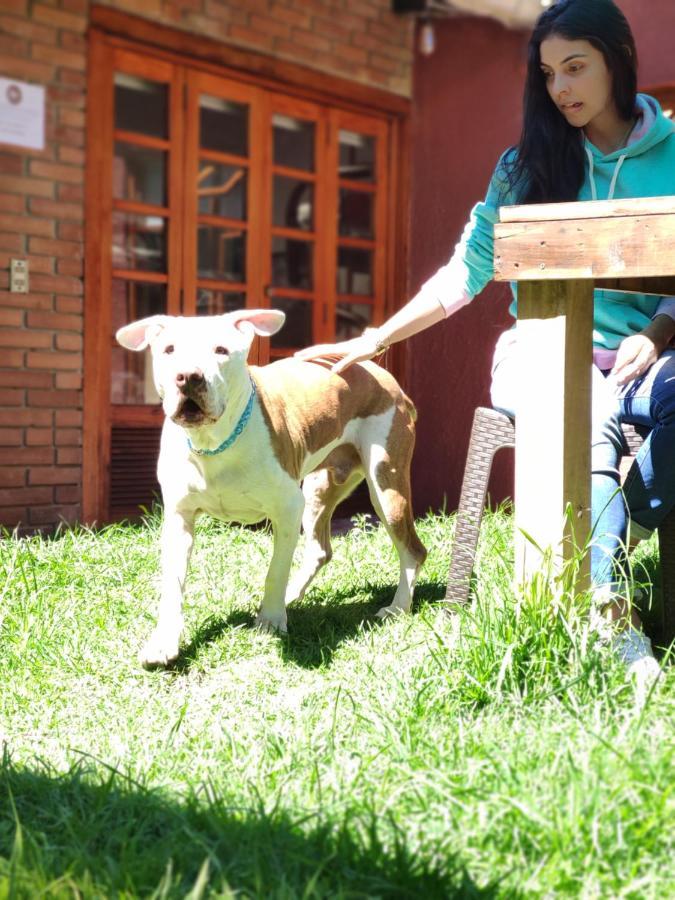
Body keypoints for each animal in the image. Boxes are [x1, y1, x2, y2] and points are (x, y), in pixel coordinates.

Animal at [113, 310, 426, 668]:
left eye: (221, 350)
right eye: (169, 349)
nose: (188, 377)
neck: (214, 442)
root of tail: (386, 378)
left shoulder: (288, 508)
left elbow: (276, 569)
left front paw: (272, 621)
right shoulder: (179, 518)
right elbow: (173, 583)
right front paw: (163, 642)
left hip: (385, 485)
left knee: (412, 550)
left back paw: (397, 607)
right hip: (321, 487)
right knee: (320, 549)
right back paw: (293, 596)